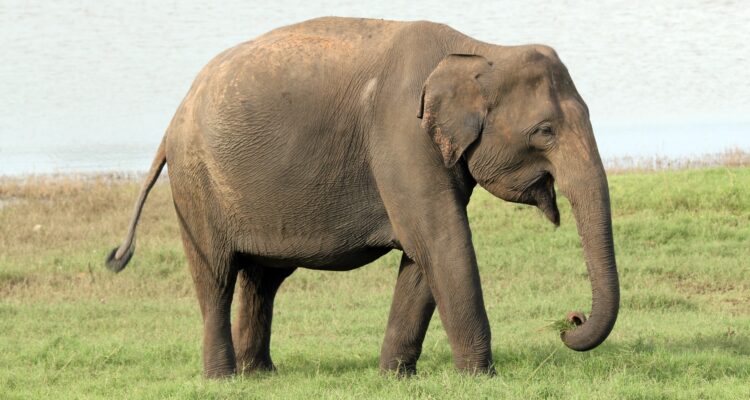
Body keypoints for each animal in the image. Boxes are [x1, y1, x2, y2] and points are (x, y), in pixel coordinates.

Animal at [106, 17, 619, 378]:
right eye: (544, 131)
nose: (570, 322)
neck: (482, 50)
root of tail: (175, 116)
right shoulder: (401, 135)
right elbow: (441, 241)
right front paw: (482, 377)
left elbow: (423, 255)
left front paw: (395, 377)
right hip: (196, 184)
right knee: (216, 277)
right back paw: (224, 379)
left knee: (262, 279)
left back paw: (262, 374)